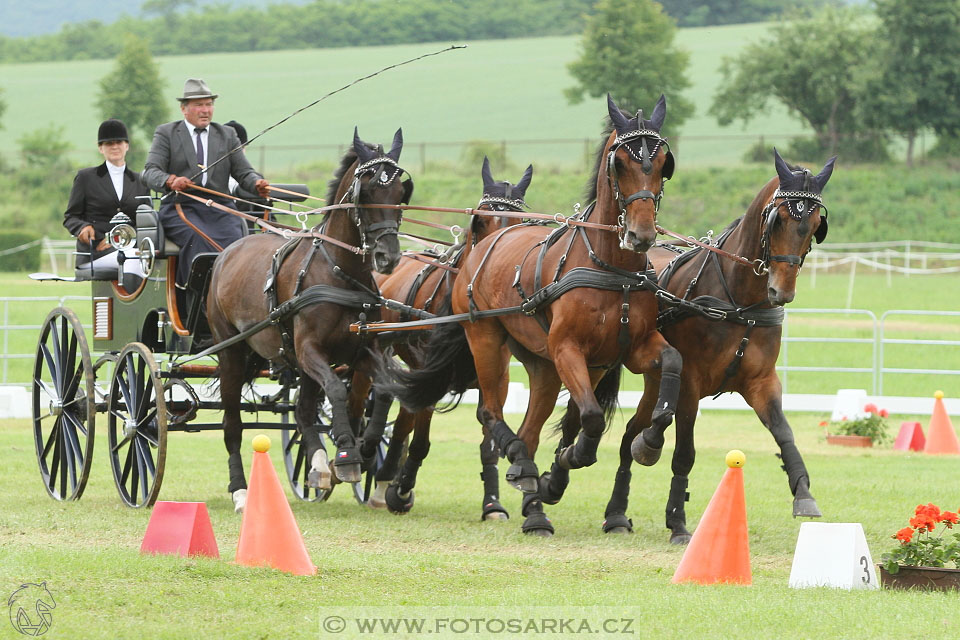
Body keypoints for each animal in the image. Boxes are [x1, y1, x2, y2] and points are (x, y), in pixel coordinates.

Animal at [206, 127, 412, 512]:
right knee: (232, 424)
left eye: (400, 193)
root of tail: (227, 253)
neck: (340, 272)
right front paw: (347, 454)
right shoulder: (310, 349)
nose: (387, 257)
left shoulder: (363, 350)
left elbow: (382, 393)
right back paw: (240, 491)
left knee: (303, 411)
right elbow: (337, 390)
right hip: (232, 353)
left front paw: (363, 447)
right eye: (367, 191)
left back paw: (317, 466)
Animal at [364, 158, 532, 516]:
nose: (492, 267)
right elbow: (421, 440)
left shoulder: (496, 377)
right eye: (479, 221)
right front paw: (402, 489)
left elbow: (489, 440)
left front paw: (492, 503)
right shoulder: (428, 370)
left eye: (520, 224)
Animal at [596, 149, 836, 540]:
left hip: (656, 380)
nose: (781, 291)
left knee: (631, 433)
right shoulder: (690, 384)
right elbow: (685, 453)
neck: (740, 302)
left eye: (816, 225)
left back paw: (617, 510)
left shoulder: (762, 383)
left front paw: (803, 492)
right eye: (778, 220)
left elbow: (784, 433)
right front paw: (677, 520)